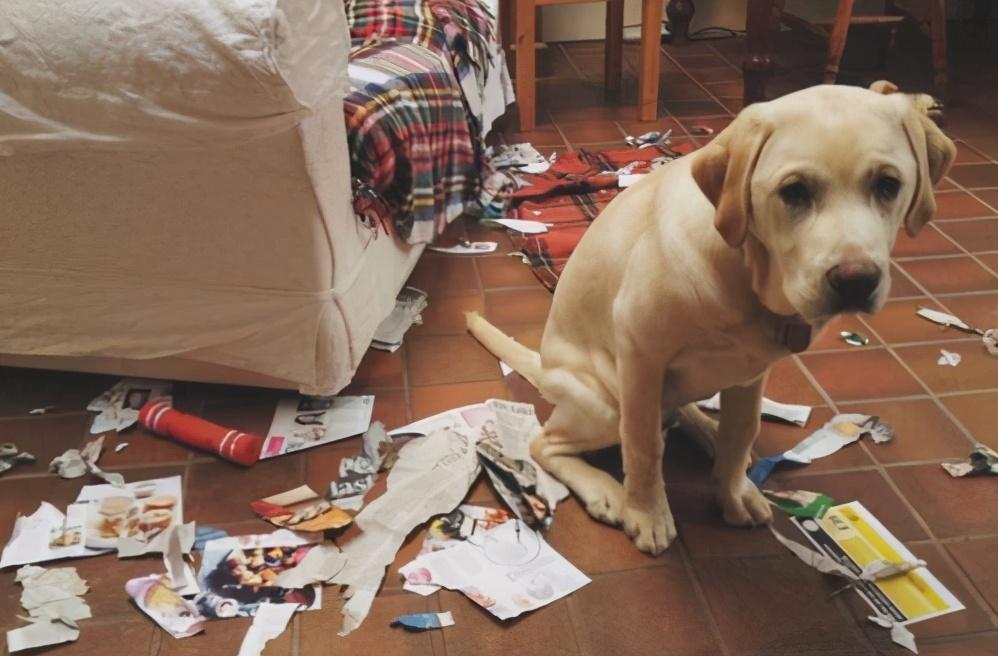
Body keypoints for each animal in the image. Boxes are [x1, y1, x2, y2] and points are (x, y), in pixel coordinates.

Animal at [466, 82, 952, 552]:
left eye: (887, 184)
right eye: (794, 191)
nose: (855, 281)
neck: (748, 274)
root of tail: (545, 369)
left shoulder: (752, 372)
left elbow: (742, 430)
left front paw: (732, 491)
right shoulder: (640, 354)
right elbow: (642, 445)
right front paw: (647, 513)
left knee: (679, 413)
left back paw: (707, 431)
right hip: (605, 400)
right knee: (548, 442)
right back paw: (605, 490)